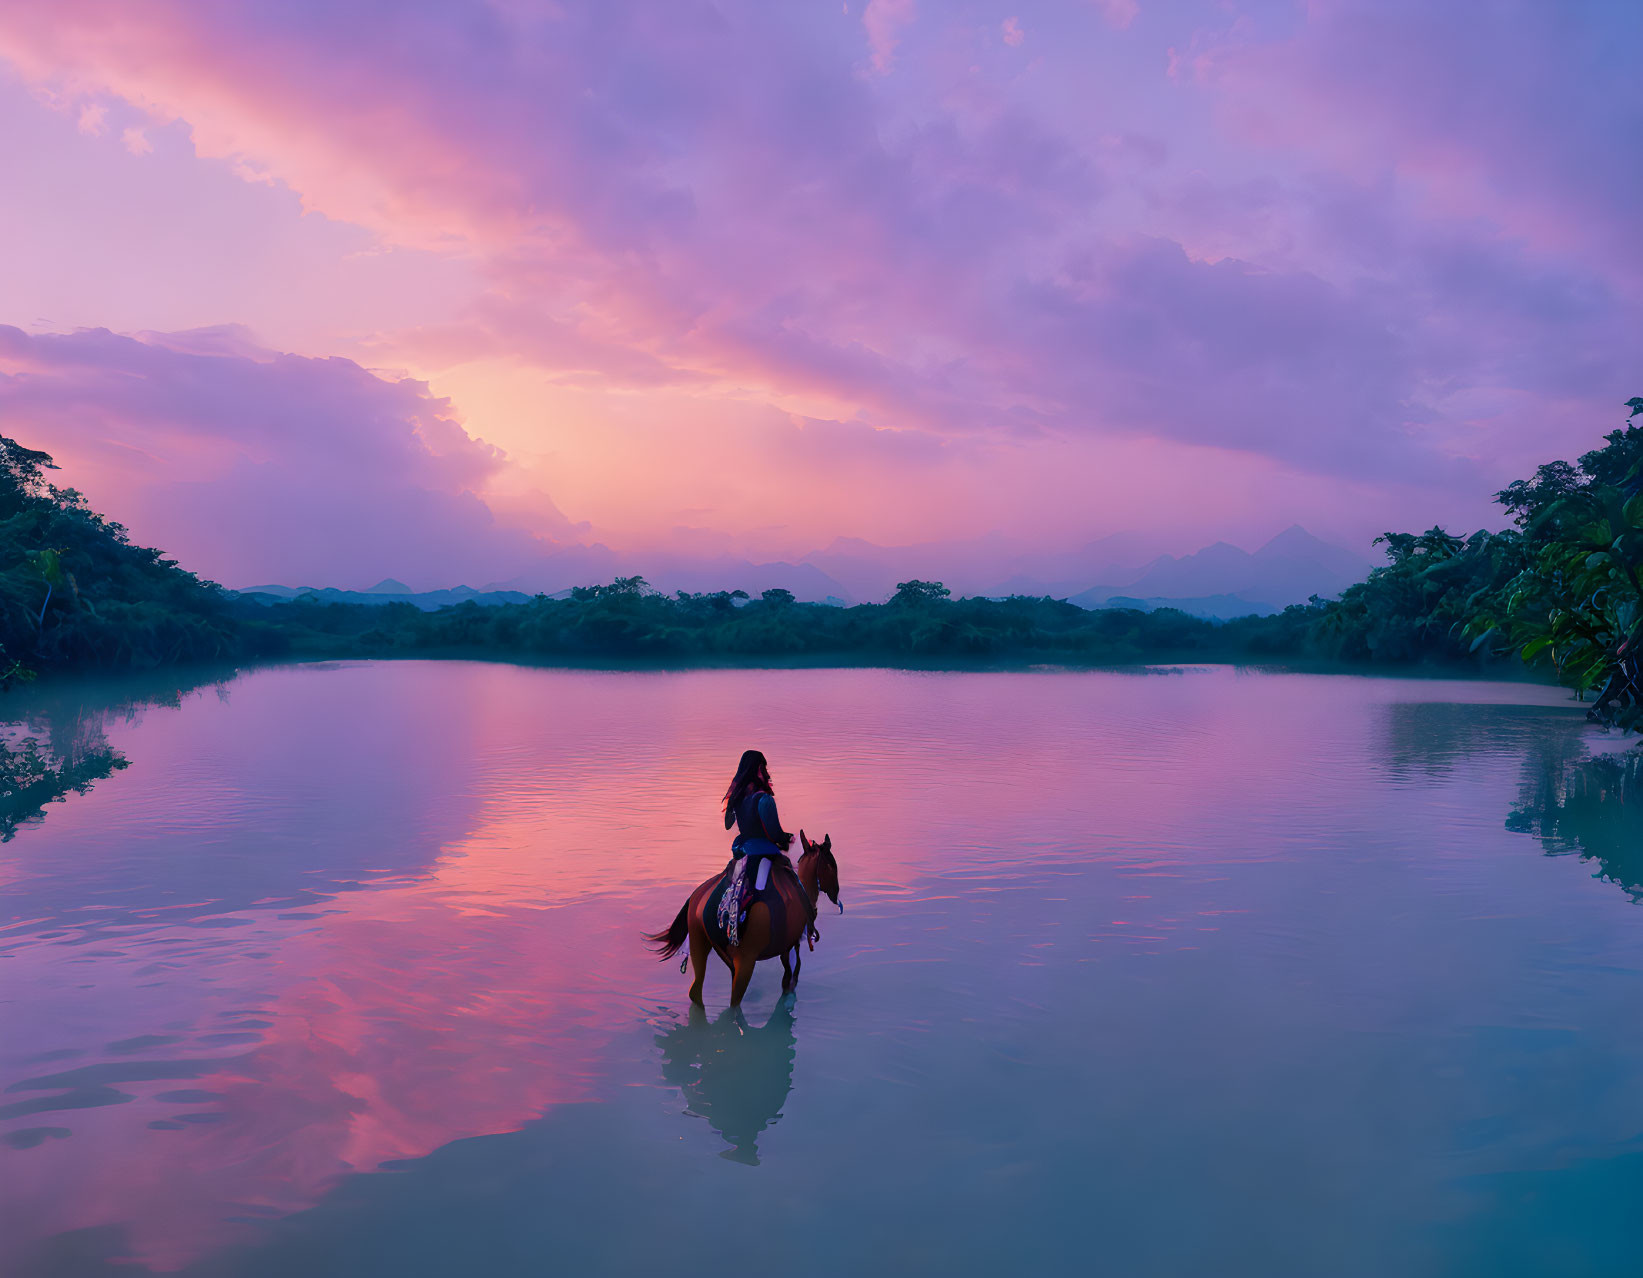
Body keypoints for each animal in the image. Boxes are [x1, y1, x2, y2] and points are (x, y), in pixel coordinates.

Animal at [644, 827, 841, 1005]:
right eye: (832, 865)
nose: (836, 892)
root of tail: (698, 896)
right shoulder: (789, 948)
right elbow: (790, 979)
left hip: (699, 943)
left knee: (696, 990)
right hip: (745, 960)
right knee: (734, 1001)